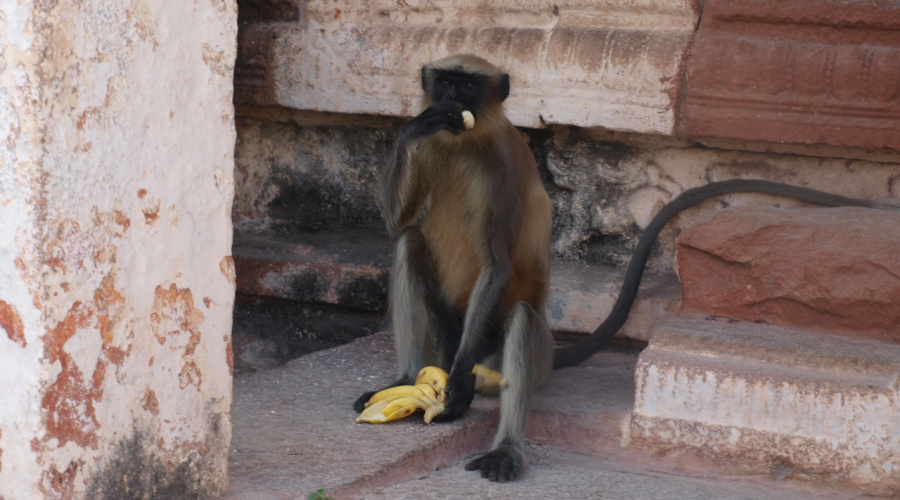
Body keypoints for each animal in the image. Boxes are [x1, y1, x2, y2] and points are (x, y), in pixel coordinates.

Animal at [356, 53, 900, 480]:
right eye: (445, 82)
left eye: (468, 86)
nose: (450, 98)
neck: (467, 142)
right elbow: (396, 221)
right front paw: (415, 126)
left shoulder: (503, 168)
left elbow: (497, 265)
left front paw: (458, 389)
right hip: (445, 334)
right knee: (408, 241)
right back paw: (404, 377)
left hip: (498, 346)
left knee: (520, 319)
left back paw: (503, 444)